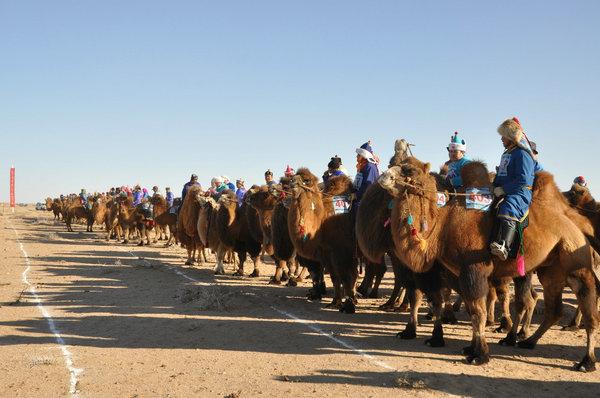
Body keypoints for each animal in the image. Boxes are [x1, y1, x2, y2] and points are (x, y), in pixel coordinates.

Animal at [380, 158, 600, 370]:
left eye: (410, 170)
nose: (384, 175)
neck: (441, 228)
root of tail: (579, 225)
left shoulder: (473, 269)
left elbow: (478, 312)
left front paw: (479, 355)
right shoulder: (455, 273)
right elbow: (467, 309)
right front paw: (468, 347)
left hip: (576, 259)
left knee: (588, 307)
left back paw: (586, 361)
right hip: (551, 270)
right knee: (552, 309)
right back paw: (527, 341)